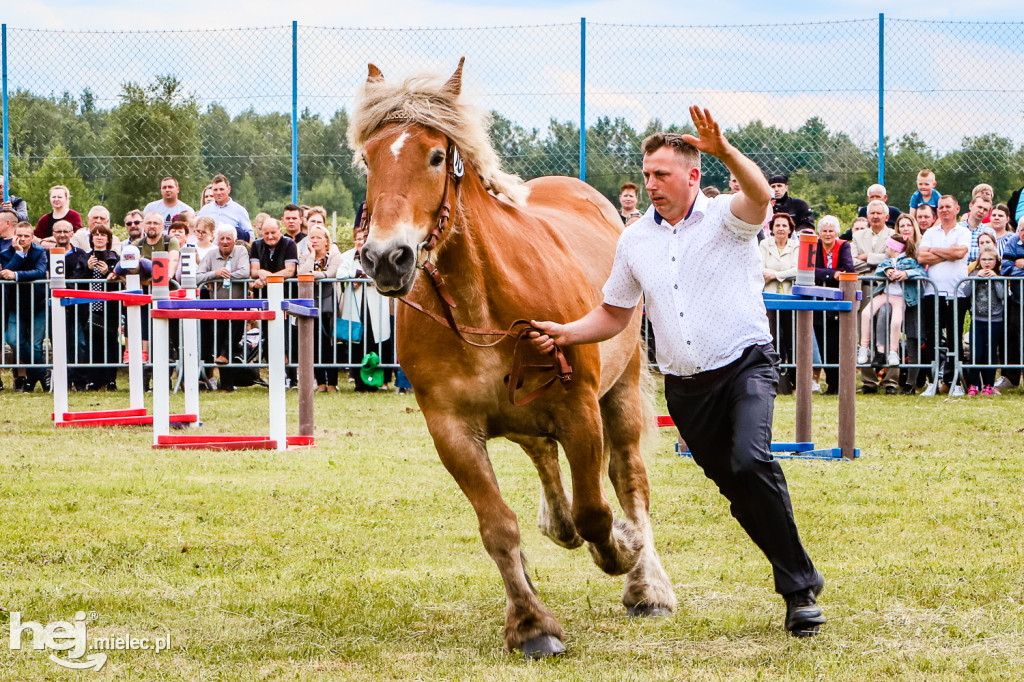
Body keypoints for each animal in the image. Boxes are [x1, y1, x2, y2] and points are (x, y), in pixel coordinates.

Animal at [348, 59, 675, 655]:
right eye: (369, 158)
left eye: (436, 155)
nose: (386, 257)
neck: (481, 299)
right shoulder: (452, 430)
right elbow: (498, 527)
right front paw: (530, 624)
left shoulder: (580, 410)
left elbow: (597, 512)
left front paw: (621, 548)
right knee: (545, 462)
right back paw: (557, 522)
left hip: (619, 396)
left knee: (628, 479)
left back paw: (647, 584)